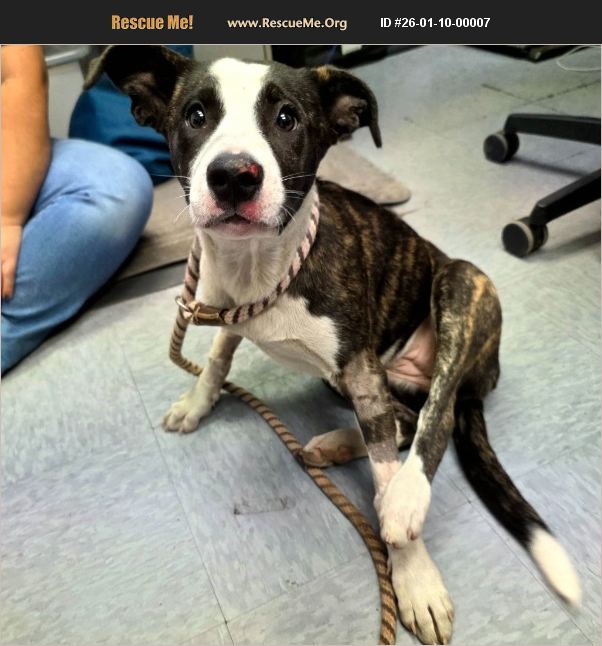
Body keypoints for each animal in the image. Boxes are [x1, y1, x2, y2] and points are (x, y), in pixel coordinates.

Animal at [86, 46, 581, 644]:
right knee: (400, 419)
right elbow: (217, 357)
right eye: (196, 115)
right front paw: (197, 403)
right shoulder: (231, 312)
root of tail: (479, 383)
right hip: (357, 377)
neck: (262, 265)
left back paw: (405, 495)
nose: (233, 177)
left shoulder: (362, 368)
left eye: (287, 118)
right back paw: (338, 445)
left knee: (432, 416)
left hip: (460, 285)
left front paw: (414, 578)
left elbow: (387, 469)